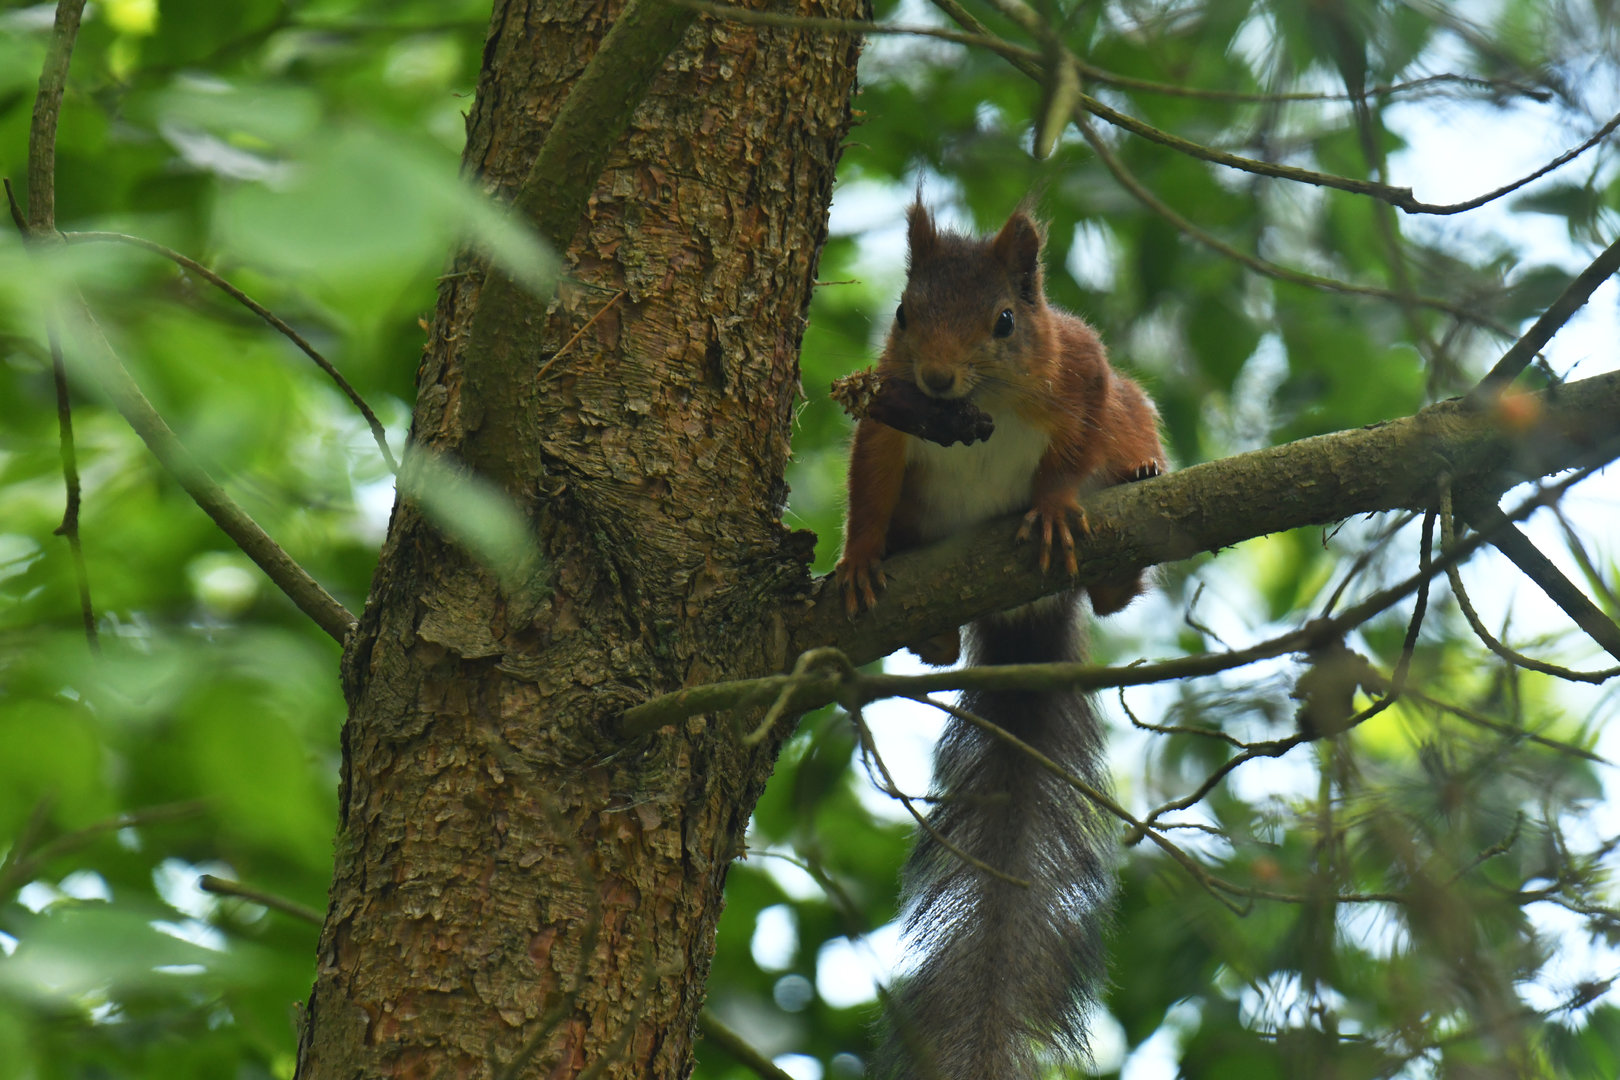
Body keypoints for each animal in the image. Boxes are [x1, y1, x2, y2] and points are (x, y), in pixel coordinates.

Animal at [835, 201, 1165, 1080]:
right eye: (903, 314)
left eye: (1006, 322)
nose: (936, 381)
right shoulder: (887, 419)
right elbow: (867, 484)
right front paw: (857, 558)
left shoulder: (1081, 373)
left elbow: (1072, 448)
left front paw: (1051, 507)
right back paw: (934, 634)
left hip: (1130, 420)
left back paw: (1132, 510)